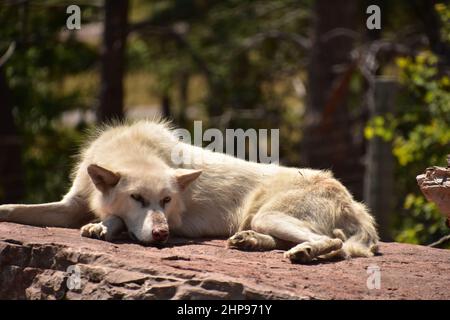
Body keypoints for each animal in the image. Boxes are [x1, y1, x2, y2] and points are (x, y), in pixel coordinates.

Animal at [0, 119, 378, 264]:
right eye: (137, 198)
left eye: (167, 201)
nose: (162, 235)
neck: (131, 149)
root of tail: (353, 200)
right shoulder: (69, 205)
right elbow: (13, 208)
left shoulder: (172, 220)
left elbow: (117, 221)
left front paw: (102, 227)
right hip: (261, 219)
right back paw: (250, 242)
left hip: (271, 215)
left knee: (335, 242)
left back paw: (304, 253)